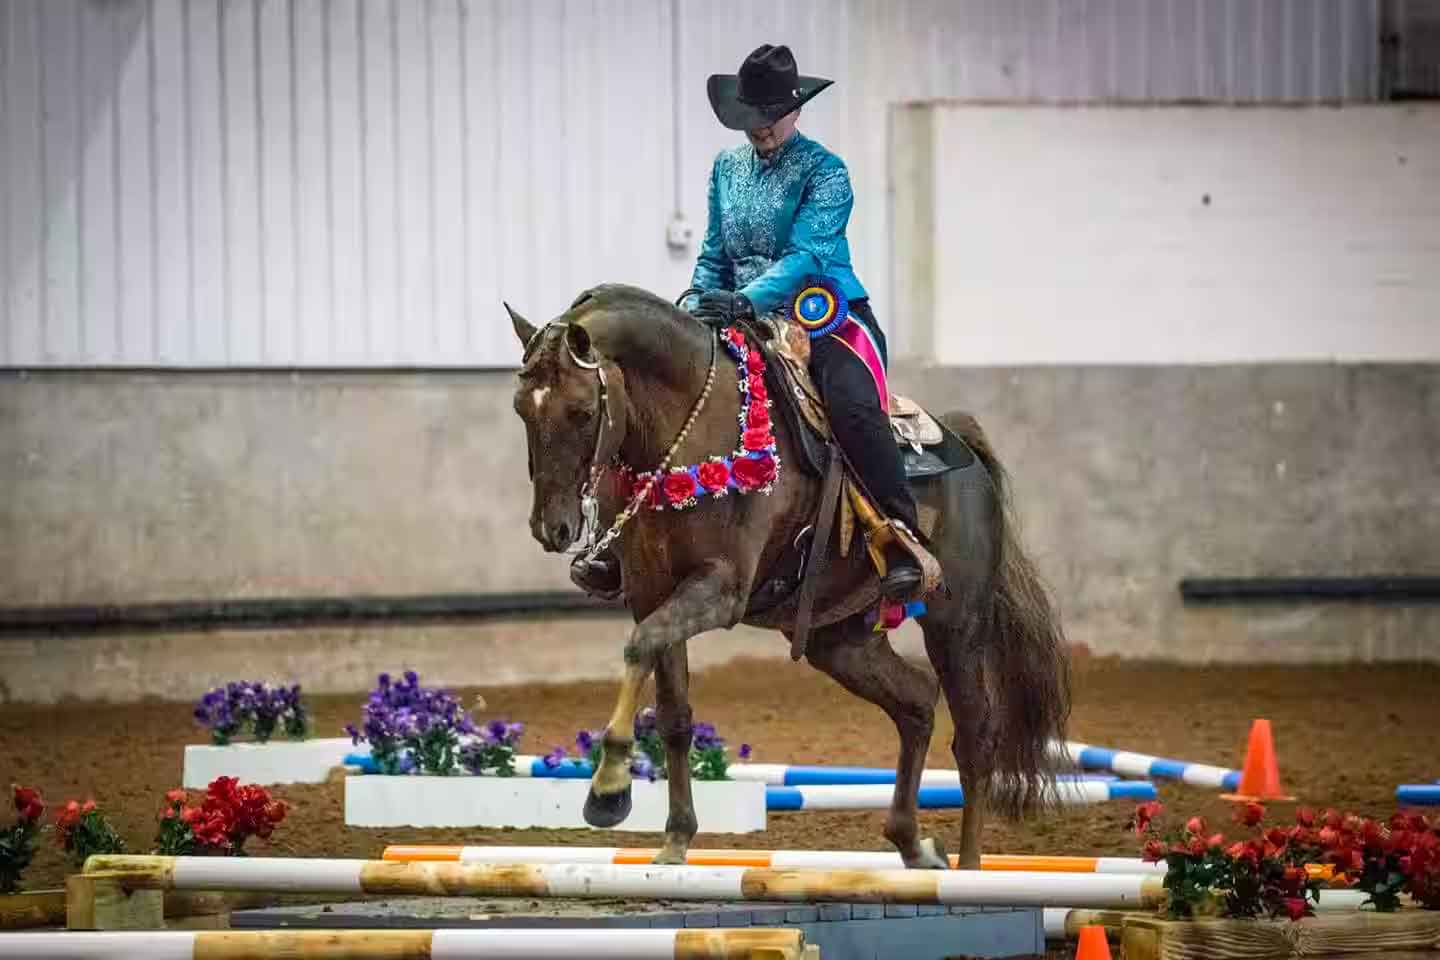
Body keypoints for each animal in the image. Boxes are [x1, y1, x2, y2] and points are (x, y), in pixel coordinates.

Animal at [507, 284, 1069, 869]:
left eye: (580, 411)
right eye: (522, 408)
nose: (552, 527)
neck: (689, 428)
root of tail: (965, 451)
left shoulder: (720, 588)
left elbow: (640, 646)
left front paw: (608, 789)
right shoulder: (650, 590)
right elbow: (673, 714)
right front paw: (675, 841)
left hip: (956, 626)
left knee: (975, 737)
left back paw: (970, 868)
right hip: (838, 639)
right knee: (916, 702)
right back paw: (914, 847)